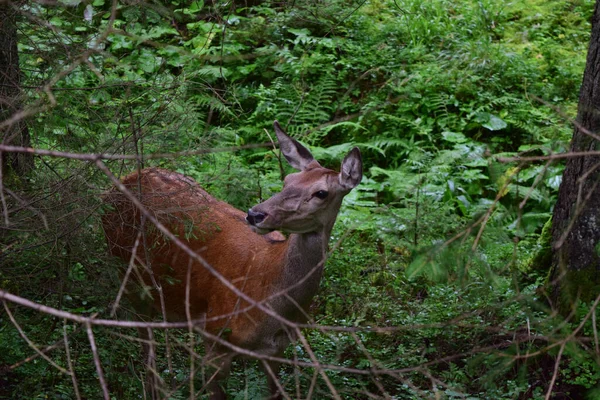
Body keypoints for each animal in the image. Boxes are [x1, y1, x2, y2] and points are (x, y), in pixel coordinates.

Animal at [102, 120, 360, 398]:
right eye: (287, 179)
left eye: (321, 193)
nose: (255, 214)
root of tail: (119, 183)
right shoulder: (216, 336)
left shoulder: (277, 350)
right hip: (128, 274)